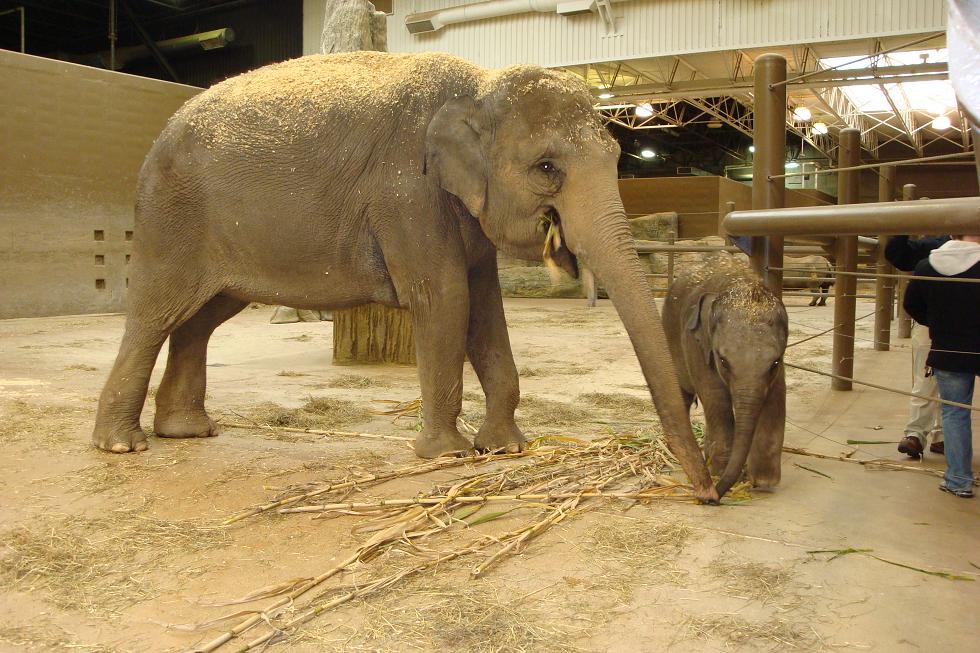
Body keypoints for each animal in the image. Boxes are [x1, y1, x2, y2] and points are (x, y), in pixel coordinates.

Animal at [91, 51, 717, 504]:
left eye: (616, 157)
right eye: (547, 168)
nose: (708, 494)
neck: (478, 84)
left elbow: (486, 309)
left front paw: (506, 449)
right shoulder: (408, 194)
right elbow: (446, 300)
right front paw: (446, 456)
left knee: (200, 319)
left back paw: (189, 432)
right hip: (171, 219)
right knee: (155, 314)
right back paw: (123, 446)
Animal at [662, 255, 788, 497]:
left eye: (775, 363)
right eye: (723, 361)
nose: (711, 498)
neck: (739, 284)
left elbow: (776, 398)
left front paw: (764, 481)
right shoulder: (696, 343)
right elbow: (715, 396)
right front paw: (720, 471)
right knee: (684, 394)